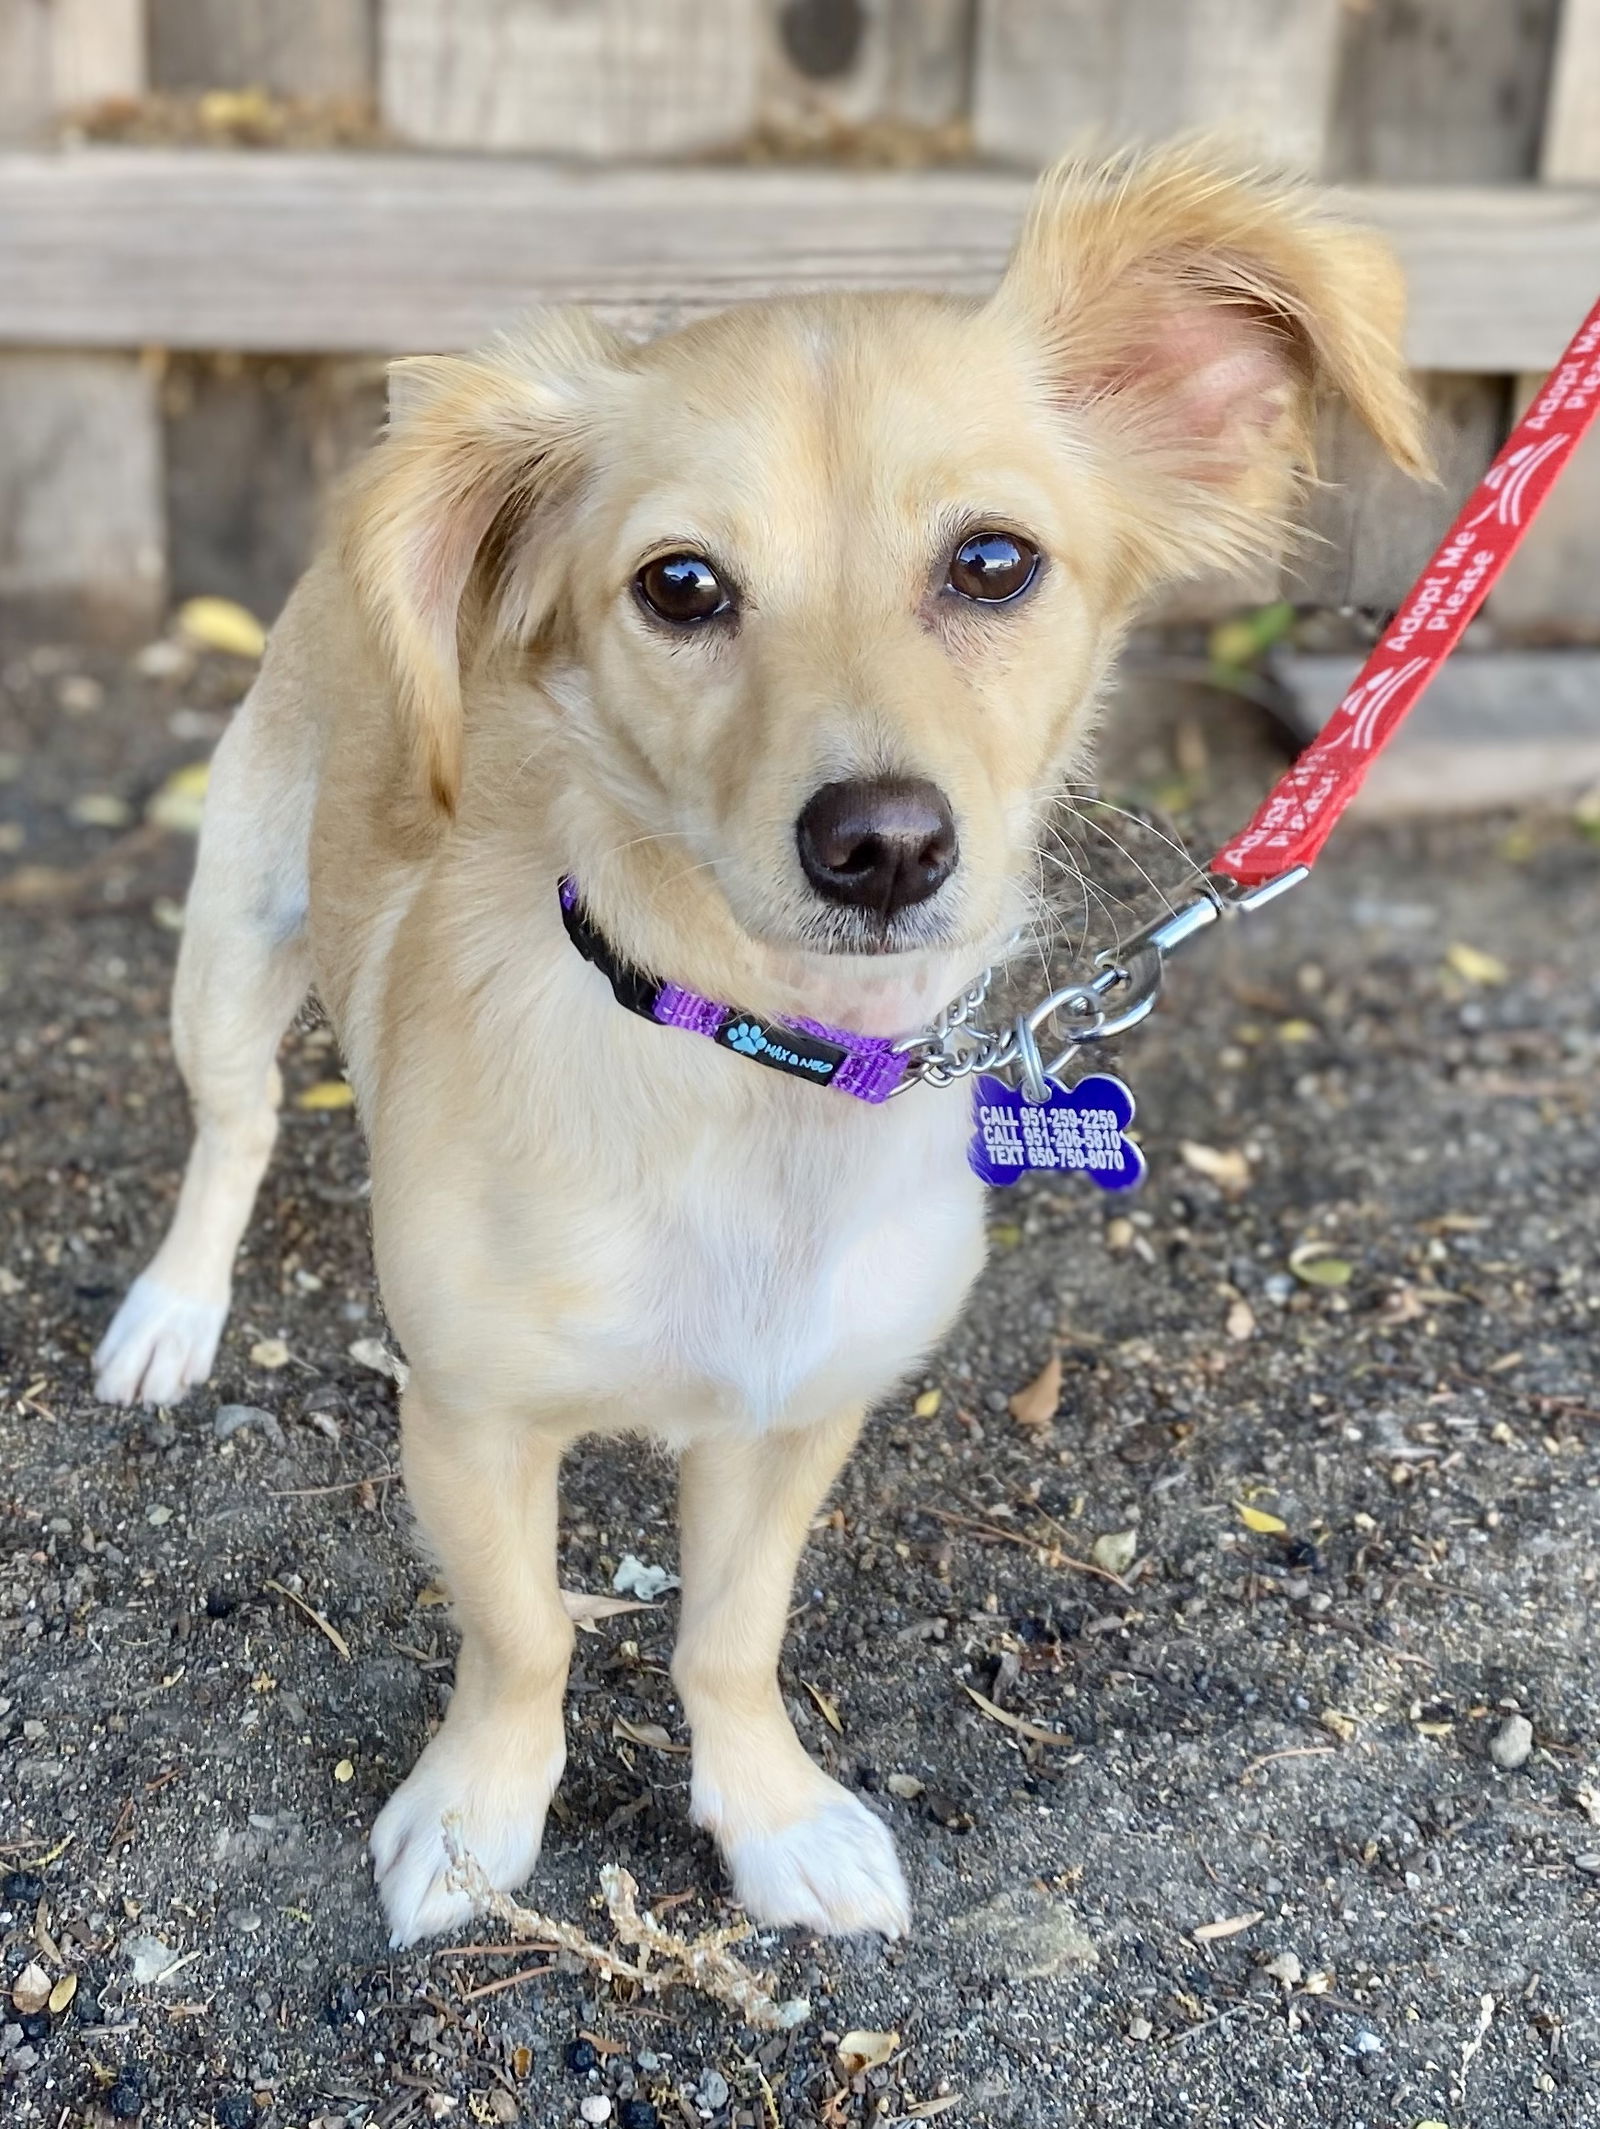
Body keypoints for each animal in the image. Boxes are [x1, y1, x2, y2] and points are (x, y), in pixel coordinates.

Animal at [93, 150, 1429, 1950]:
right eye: (681, 584)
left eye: (993, 561)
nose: (881, 844)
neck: (750, 1067)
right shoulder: (470, 1418)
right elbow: (526, 1632)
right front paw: (476, 1819)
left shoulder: (796, 1417)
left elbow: (729, 1636)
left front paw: (774, 1815)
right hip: (233, 942)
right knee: (230, 1134)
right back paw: (172, 1315)